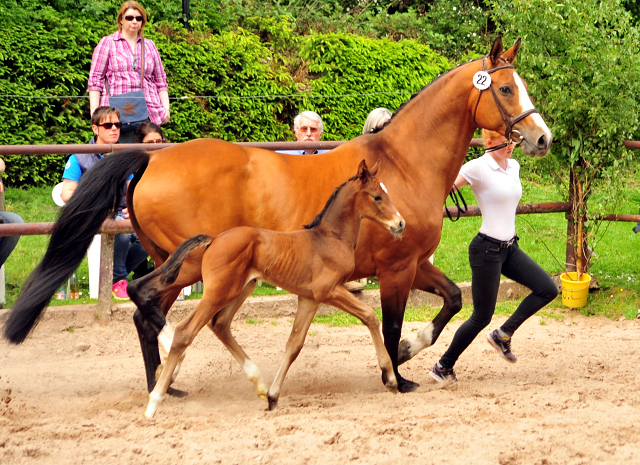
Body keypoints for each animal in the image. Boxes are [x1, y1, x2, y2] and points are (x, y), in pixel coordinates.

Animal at [132, 160, 404, 416]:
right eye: (377, 196)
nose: (400, 223)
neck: (330, 238)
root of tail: (214, 239)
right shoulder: (329, 290)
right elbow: (370, 315)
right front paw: (390, 379)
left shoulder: (310, 298)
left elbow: (294, 344)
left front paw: (273, 396)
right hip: (218, 293)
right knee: (184, 332)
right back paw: (155, 401)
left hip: (241, 289)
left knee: (220, 324)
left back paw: (260, 384)